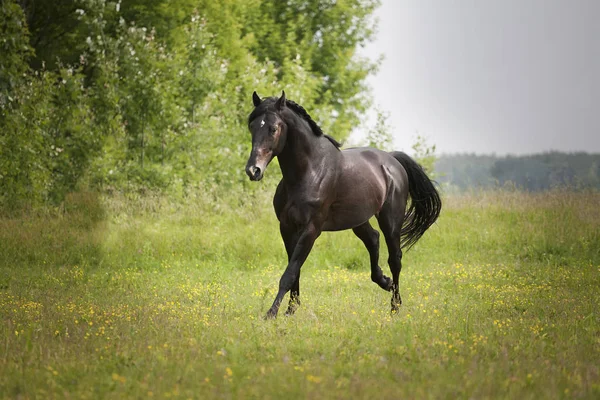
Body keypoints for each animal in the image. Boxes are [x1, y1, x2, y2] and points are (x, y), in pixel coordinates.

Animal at [244, 90, 440, 318]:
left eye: (274, 128)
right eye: (252, 126)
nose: (253, 170)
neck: (308, 173)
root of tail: (392, 160)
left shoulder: (311, 229)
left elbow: (290, 272)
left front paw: (272, 314)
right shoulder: (286, 228)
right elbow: (295, 269)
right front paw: (291, 310)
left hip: (390, 220)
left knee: (395, 258)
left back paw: (395, 306)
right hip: (358, 219)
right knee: (373, 239)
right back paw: (385, 282)